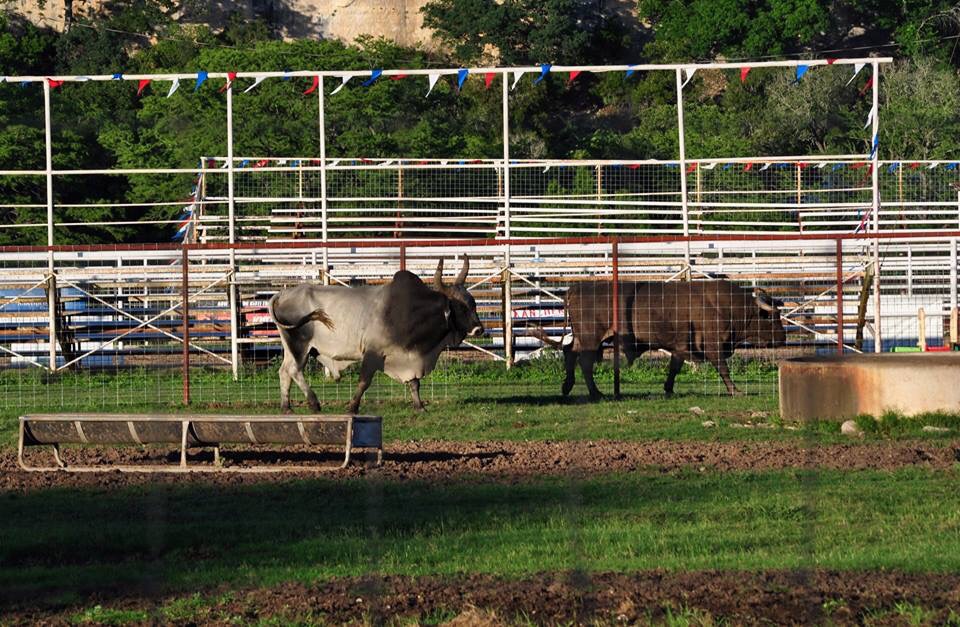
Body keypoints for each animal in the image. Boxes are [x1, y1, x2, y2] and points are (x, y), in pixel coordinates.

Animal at [269, 257, 483, 414]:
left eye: (473, 304)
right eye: (459, 307)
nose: (479, 329)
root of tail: (282, 294)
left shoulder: (408, 356)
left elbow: (415, 384)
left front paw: (420, 407)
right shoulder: (372, 353)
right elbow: (364, 382)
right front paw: (352, 407)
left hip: (292, 347)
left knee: (284, 371)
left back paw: (286, 408)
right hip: (300, 345)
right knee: (294, 370)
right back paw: (314, 403)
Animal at [533, 280, 786, 399]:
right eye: (773, 317)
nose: (783, 339)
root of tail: (576, 288)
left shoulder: (680, 346)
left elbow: (674, 367)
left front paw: (669, 388)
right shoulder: (713, 346)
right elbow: (723, 368)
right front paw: (735, 390)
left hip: (584, 339)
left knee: (570, 353)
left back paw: (567, 386)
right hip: (590, 339)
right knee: (583, 362)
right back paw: (595, 393)